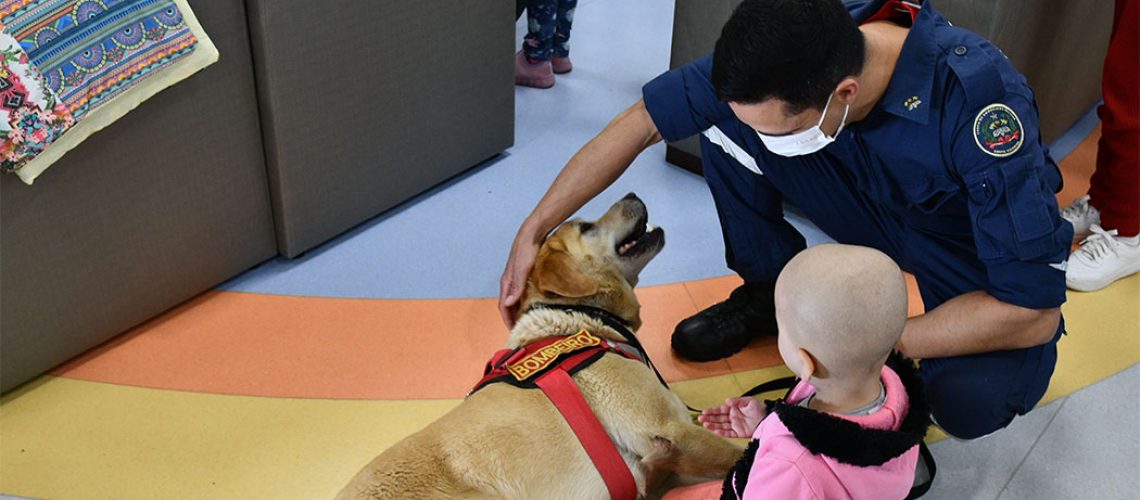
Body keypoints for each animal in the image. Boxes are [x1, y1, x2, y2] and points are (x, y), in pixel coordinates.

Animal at [337, 193, 743, 498]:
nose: (632, 193)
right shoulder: (668, 431)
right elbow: (737, 453)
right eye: (586, 227)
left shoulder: (661, 461)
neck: (581, 314)